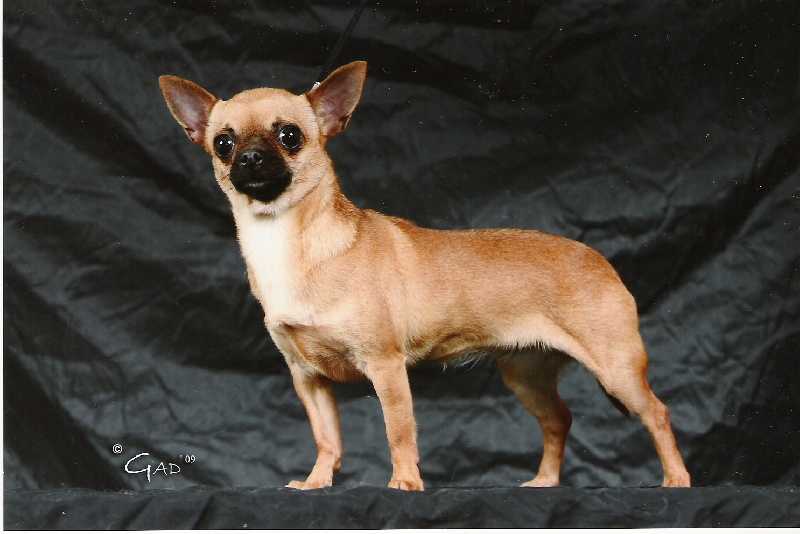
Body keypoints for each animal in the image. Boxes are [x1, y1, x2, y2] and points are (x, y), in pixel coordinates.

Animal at [159, 61, 691, 491]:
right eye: (223, 144)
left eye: (289, 136)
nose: (249, 157)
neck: (286, 239)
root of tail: (599, 259)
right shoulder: (309, 379)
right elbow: (328, 439)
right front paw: (316, 483)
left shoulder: (386, 367)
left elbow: (399, 431)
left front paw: (405, 484)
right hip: (526, 374)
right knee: (558, 420)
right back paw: (546, 481)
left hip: (617, 369)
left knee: (657, 413)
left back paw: (676, 479)